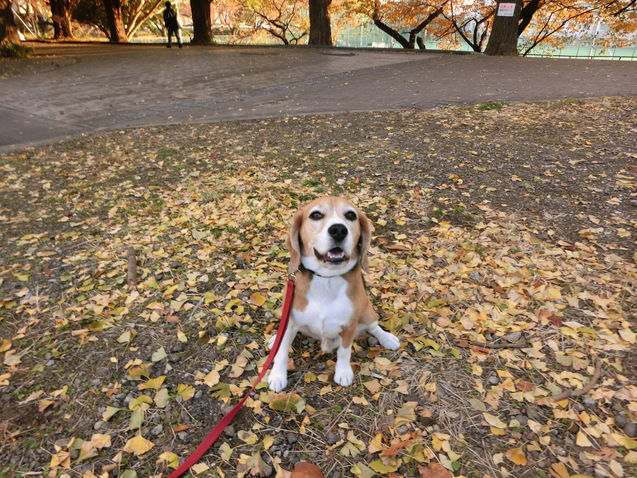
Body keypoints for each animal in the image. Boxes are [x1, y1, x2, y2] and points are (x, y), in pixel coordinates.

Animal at [268, 195, 398, 392]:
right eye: (316, 215)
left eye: (351, 215)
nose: (338, 230)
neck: (327, 278)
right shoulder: (289, 322)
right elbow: (282, 350)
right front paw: (277, 375)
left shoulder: (349, 326)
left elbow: (345, 352)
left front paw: (343, 372)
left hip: (368, 312)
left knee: (374, 327)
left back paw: (387, 338)